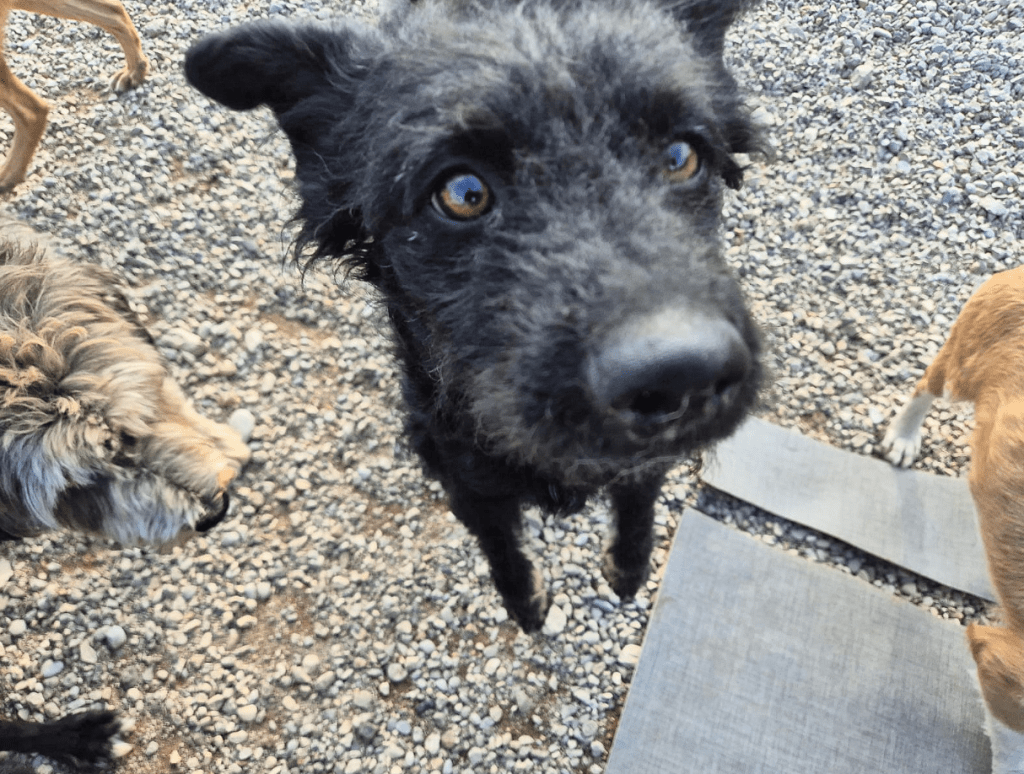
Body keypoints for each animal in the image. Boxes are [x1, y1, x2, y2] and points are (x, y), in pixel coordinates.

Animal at [185, 0, 765, 632]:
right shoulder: (468, 486)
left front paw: (628, 569)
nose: (681, 374)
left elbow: (638, 499)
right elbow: (502, 546)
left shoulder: (643, 465)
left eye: (682, 156)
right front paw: (525, 602)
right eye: (463, 193)